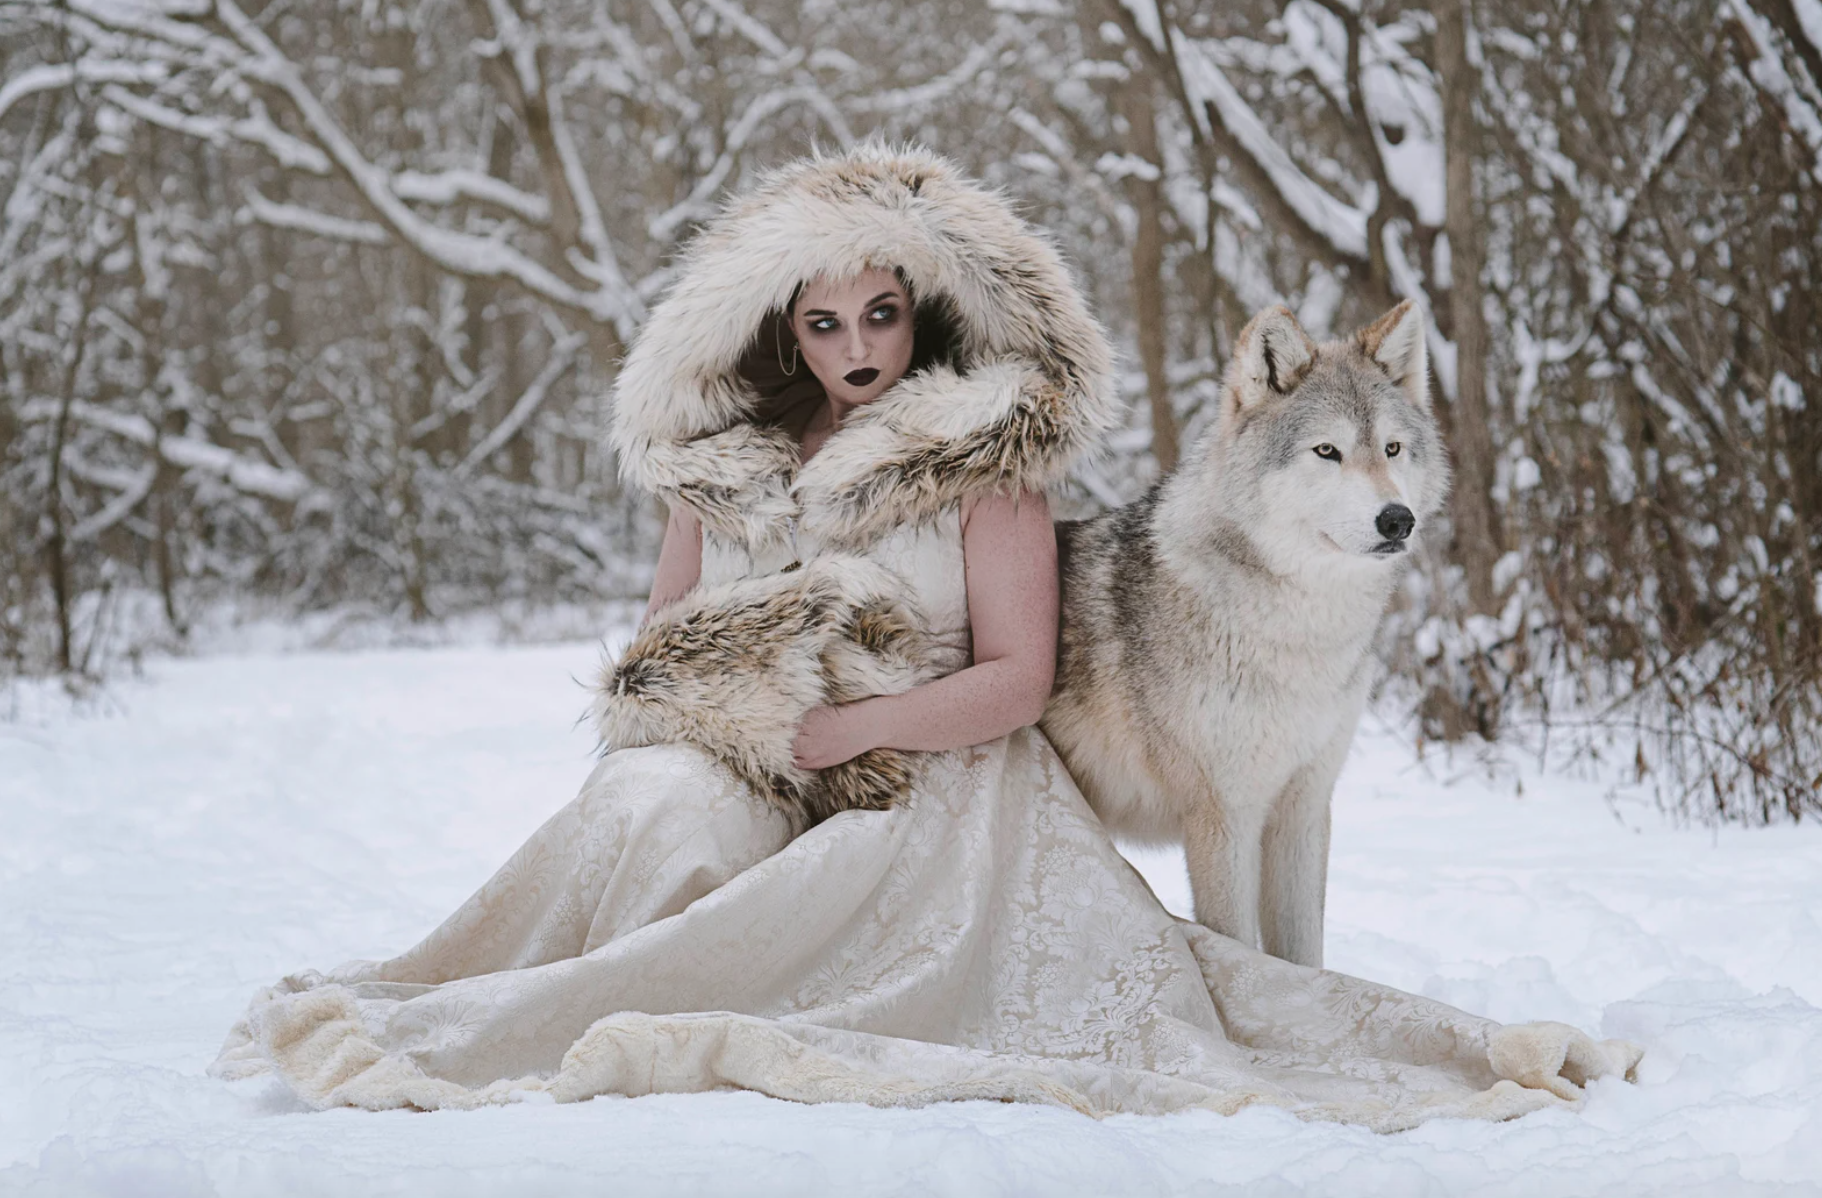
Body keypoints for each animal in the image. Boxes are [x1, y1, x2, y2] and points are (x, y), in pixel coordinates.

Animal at [1049, 300, 1443, 968]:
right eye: (1327, 451)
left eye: (1392, 448)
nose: (1398, 520)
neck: (1301, 634)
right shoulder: (1222, 816)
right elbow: (1239, 942)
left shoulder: (1304, 808)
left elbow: (1303, 952)